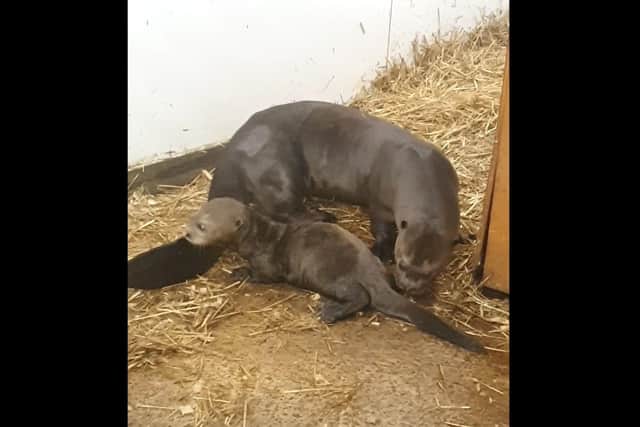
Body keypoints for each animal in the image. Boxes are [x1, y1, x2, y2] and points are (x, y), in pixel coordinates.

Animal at [129, 101, 462, 296]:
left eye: (431, 270)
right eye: (402, 263)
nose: (407, 288)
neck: (415, 166)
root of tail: (230, 155)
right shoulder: (379, 201)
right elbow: (380, 225)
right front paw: (380, 250)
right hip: (277, 171)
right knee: (285, 210)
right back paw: (324, 215)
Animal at [183, 197, 485, 354]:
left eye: (202, 226)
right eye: (194, 215)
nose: (186, 233)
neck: (259, 236)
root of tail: (372, 274)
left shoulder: (268, 263)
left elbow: (262, 275)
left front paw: (237, 271)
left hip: (329, 275)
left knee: (361, 298)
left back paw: (330, 312)